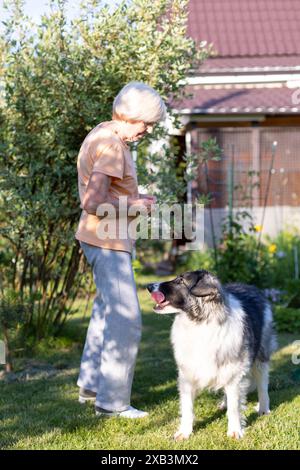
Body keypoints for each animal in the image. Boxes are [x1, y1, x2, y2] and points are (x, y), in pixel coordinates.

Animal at [148, 270, 276, 438]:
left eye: (181, 281)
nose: (149, 286)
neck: (201, 322)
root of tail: (250, 287)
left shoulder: (234, 373)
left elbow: (234, 408)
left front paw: (235, 431)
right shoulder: (187, 375)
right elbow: (187, 407)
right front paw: (184, 432)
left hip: (261, 358)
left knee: (262, 384)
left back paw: (263, 408)